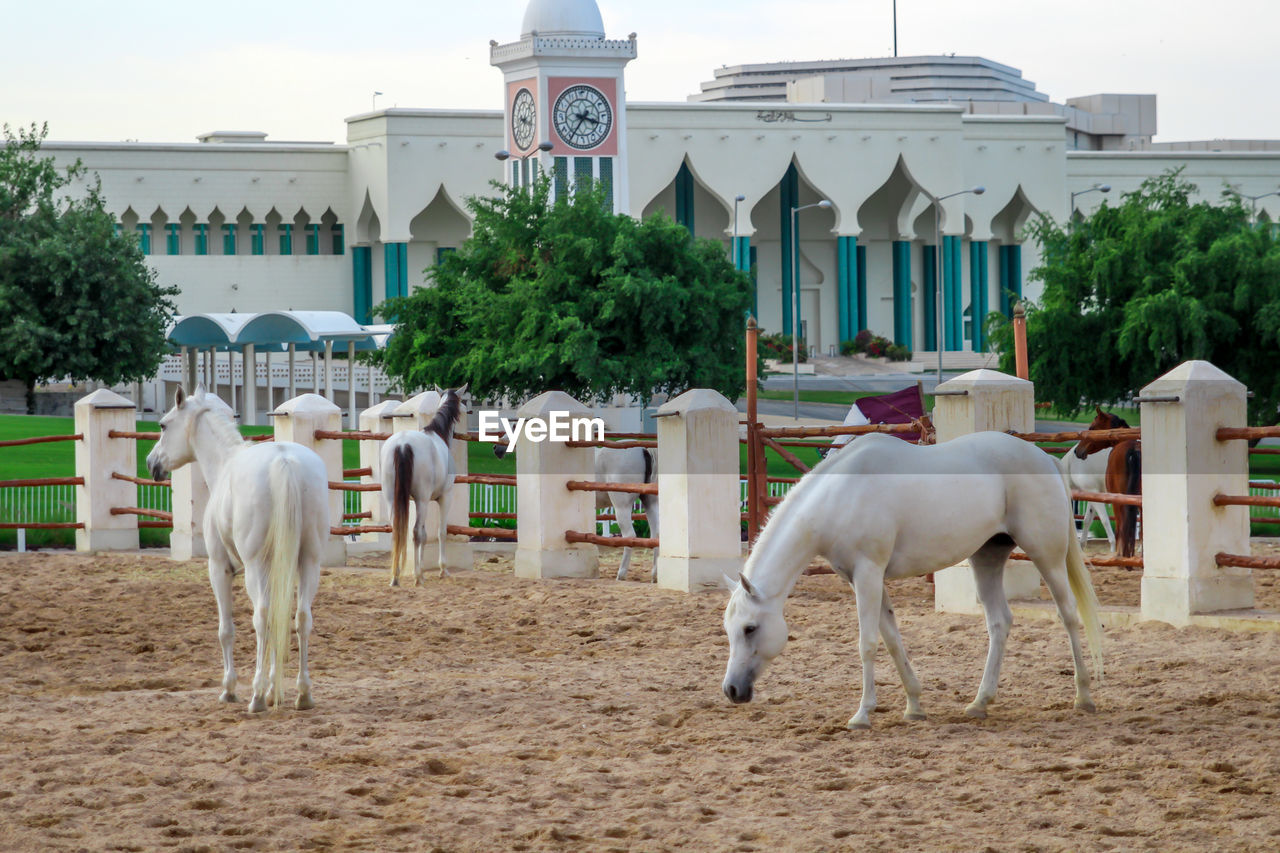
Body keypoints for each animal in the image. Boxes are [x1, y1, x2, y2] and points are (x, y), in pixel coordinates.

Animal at [146, 386, 327, 712]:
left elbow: (226, 630)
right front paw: (274, 689)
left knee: (262, 617)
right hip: (309, 563)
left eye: (163, 425)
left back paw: (256, 696)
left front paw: (230, 689)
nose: (152, 463)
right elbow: (282, 620)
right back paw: (302, 694)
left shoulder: (220, 569)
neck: (224, 464)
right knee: (302, 618)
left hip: (256, 567)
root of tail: (284, 462)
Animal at [381, 384, 468, 584]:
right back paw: (418, 577)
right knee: (415, 533)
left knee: (398, 531)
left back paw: (395, 577)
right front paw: (442, 569)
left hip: (392, 498)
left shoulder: (421, 501)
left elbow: (425, 534)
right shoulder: (444, 497)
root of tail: (402, 445)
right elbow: (440, 532)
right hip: (421, 500)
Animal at [491, 435, 660, 581]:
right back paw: (654, 575)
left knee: (629, 536)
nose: (497, 448)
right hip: (649, 503)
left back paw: (621, 574)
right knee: (656, 535)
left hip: (621, 506)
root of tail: (643, 449)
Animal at [721, 427, 1100, 727]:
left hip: (1047, 556)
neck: (841, 495)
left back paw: (1083, 696)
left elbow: (868, 644)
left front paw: (862, 714)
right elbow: (891, 639)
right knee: (999, 622)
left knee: (1068, 614)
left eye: (750, 628)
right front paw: (914, 705)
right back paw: (980, 702)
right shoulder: (864, 579)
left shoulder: (868, 575)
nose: (732, 690)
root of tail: (1044, 459)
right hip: (987, 558)